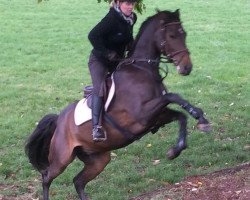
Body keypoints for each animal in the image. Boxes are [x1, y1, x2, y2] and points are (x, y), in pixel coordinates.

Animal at [24, 9, 211, 200]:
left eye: (184, 34)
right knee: (47, 177)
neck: (143, 70)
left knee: (78, 181)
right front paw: (198, 115)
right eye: (172, 35)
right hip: (62, 157)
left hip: (99, 158)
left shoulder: (156, 117)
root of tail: (59, 119)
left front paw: (178, 147)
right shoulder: (142, 115)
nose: (186, 68)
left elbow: (180, 116)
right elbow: (174, 96)